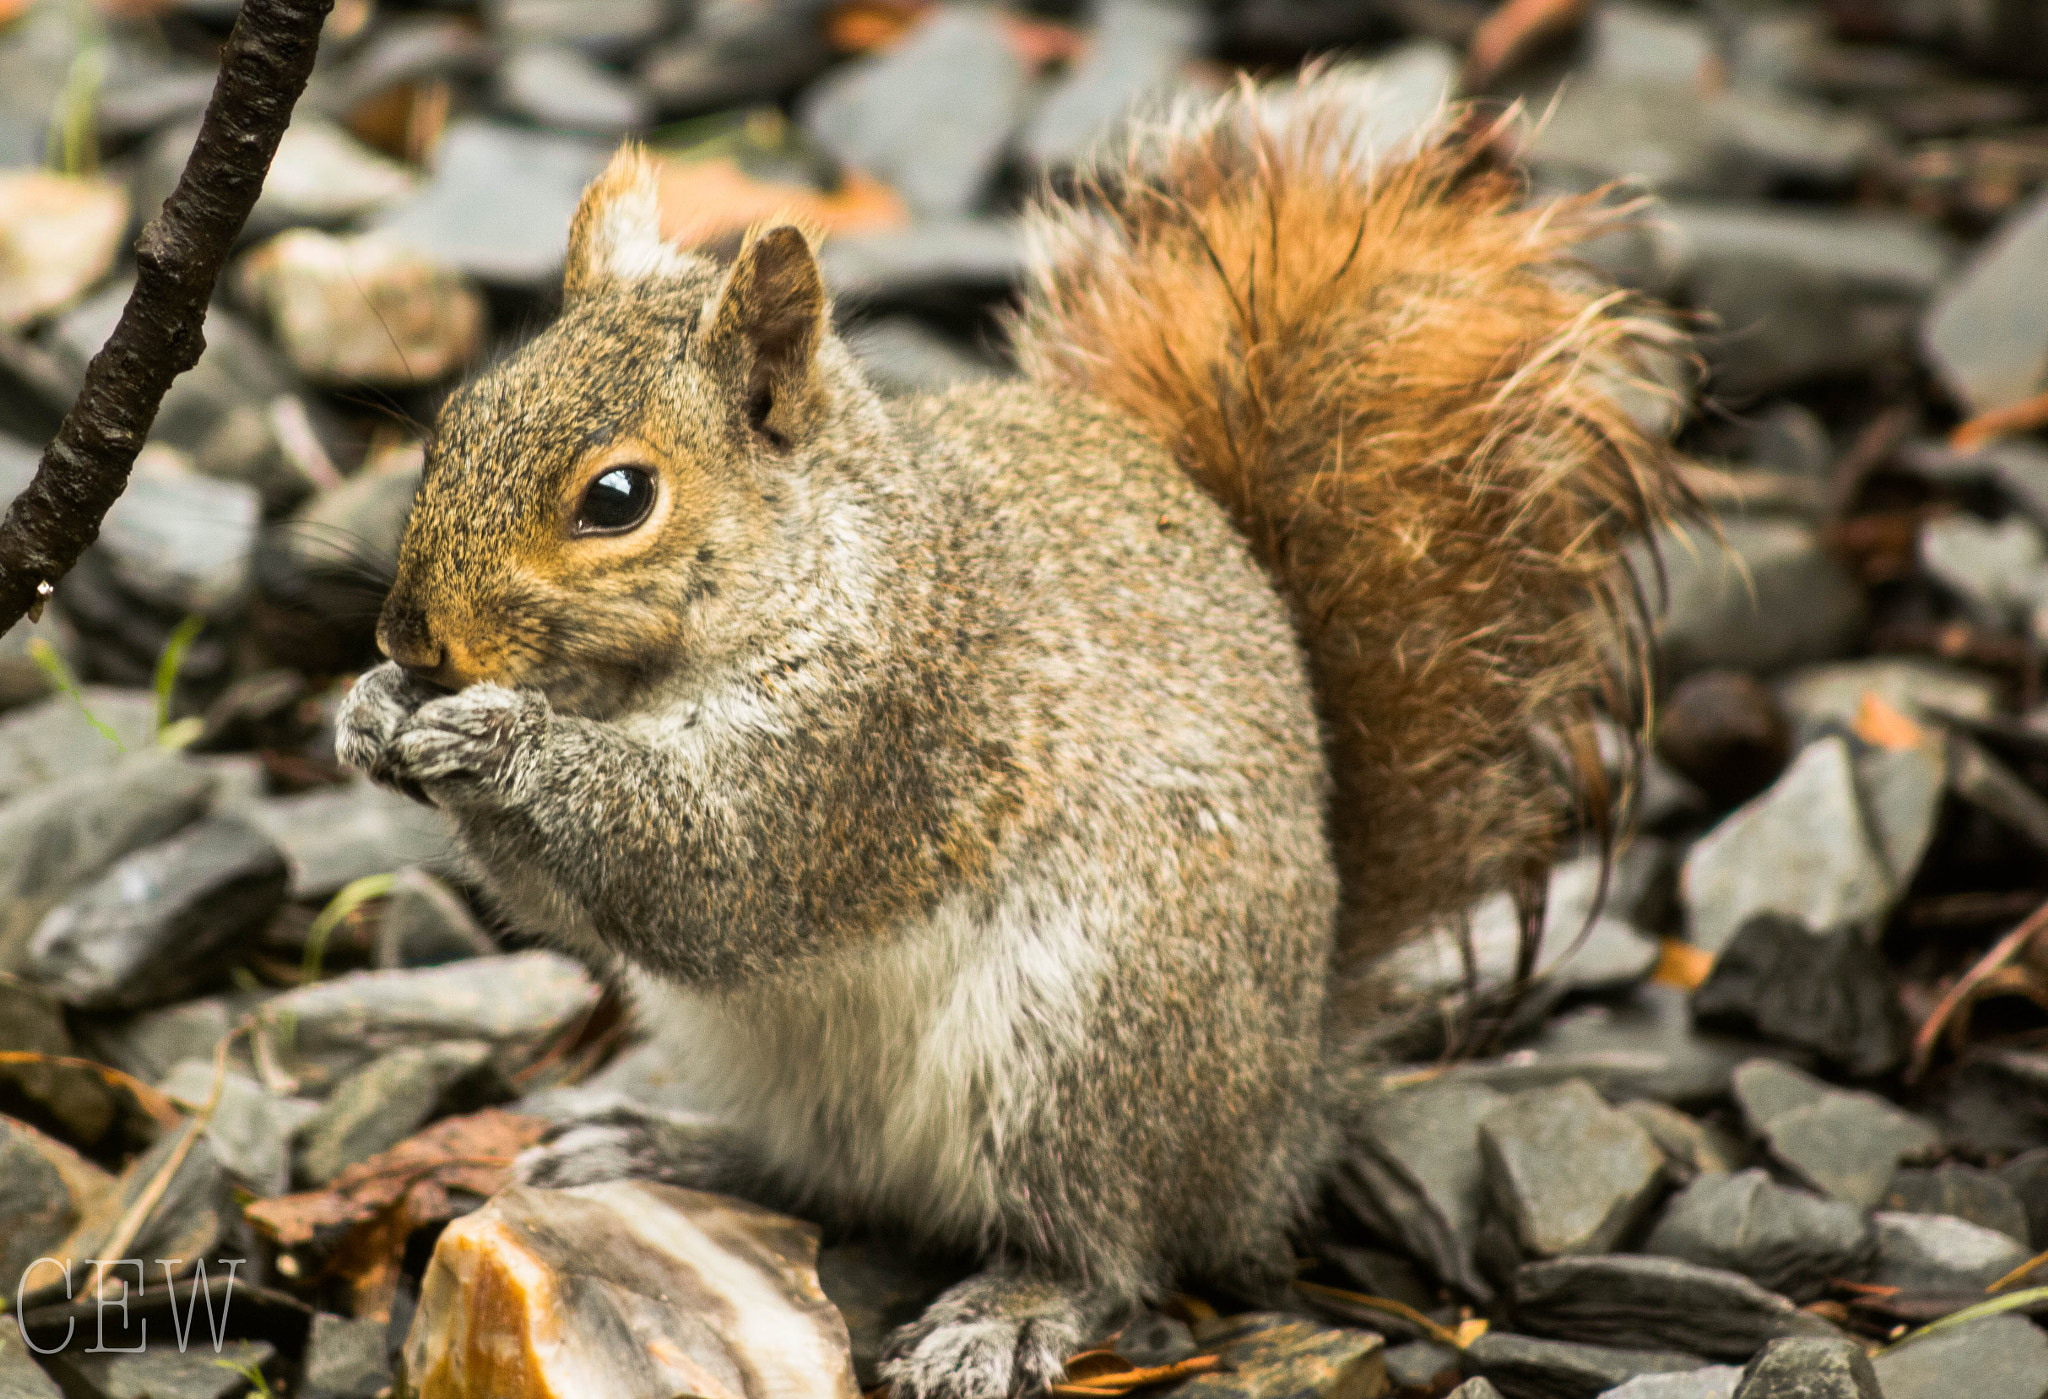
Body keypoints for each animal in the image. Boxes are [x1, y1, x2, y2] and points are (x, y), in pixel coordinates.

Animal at [331, 73, 1679, 1399]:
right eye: (452, 422)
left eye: (618, 498)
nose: (414, 636)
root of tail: (1285, 1109)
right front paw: (371, 710)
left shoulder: (876, 735)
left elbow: (707, 869)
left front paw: (496, 740)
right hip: (785, 1054)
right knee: (828, 1172)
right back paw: (658, 1145)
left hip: (1084, 1047)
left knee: (1109, 1242)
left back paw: (1006, 1310)